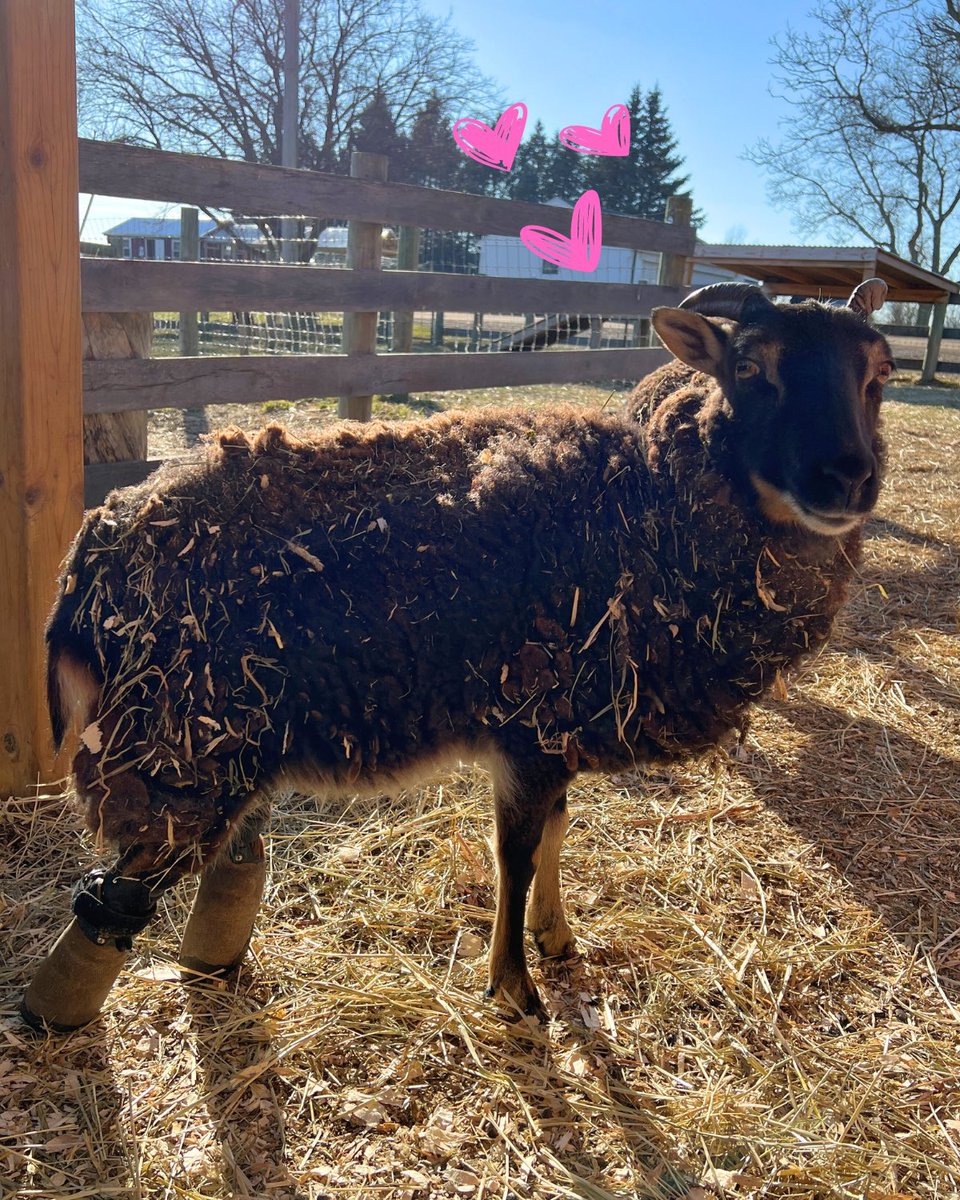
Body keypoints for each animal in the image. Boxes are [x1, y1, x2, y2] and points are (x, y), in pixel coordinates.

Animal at [20, 276, 892, 1027]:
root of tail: (90, 554)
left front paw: (555, 938)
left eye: (878, 374)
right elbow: (517, 856)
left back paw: (204, 956)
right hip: (172, 747)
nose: (847, 478)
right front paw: (514, 988)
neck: (653, 506)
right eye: (749, 367)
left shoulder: (555, 730)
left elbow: (556, 835)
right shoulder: (527, 732)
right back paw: (59, 1005)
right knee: (116, 891)